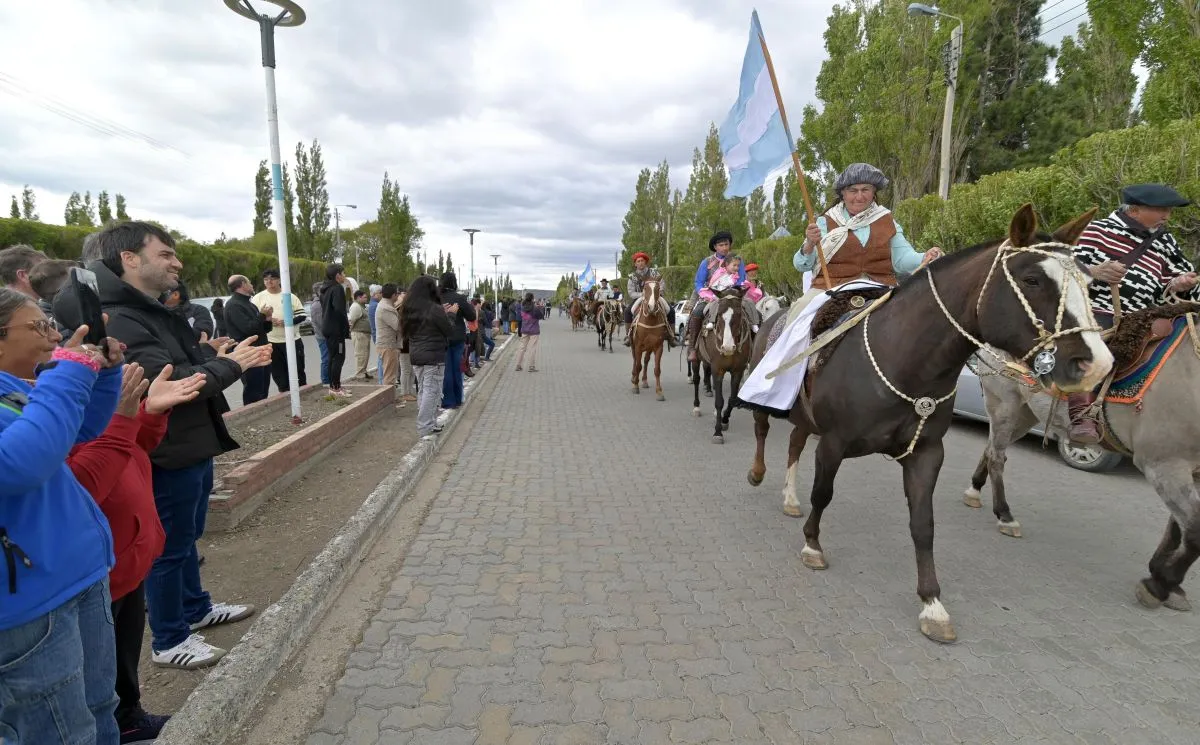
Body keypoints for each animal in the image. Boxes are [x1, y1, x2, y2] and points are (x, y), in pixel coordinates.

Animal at [696, 286, 748, 441]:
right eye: (719, 314)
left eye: (739, 314)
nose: (728, 348)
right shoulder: (717, 369)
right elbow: (719, 401)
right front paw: (718, 432)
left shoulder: (738, 370)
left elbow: (732, 399)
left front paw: (725, 420)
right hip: (696, 358)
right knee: (696, 379)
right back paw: (697, 407)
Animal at [739, 206, 1113, 643]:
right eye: (1032, 279)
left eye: (1089, 281)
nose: (1096, 364)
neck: (905, 359)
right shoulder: (834, 442)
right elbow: (824, 493)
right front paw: (813, 546)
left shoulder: (927, 454)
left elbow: (923, 524)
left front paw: (932, 604)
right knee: (764, 430)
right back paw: (758, 474)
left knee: (796, 442)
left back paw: (789, 498)